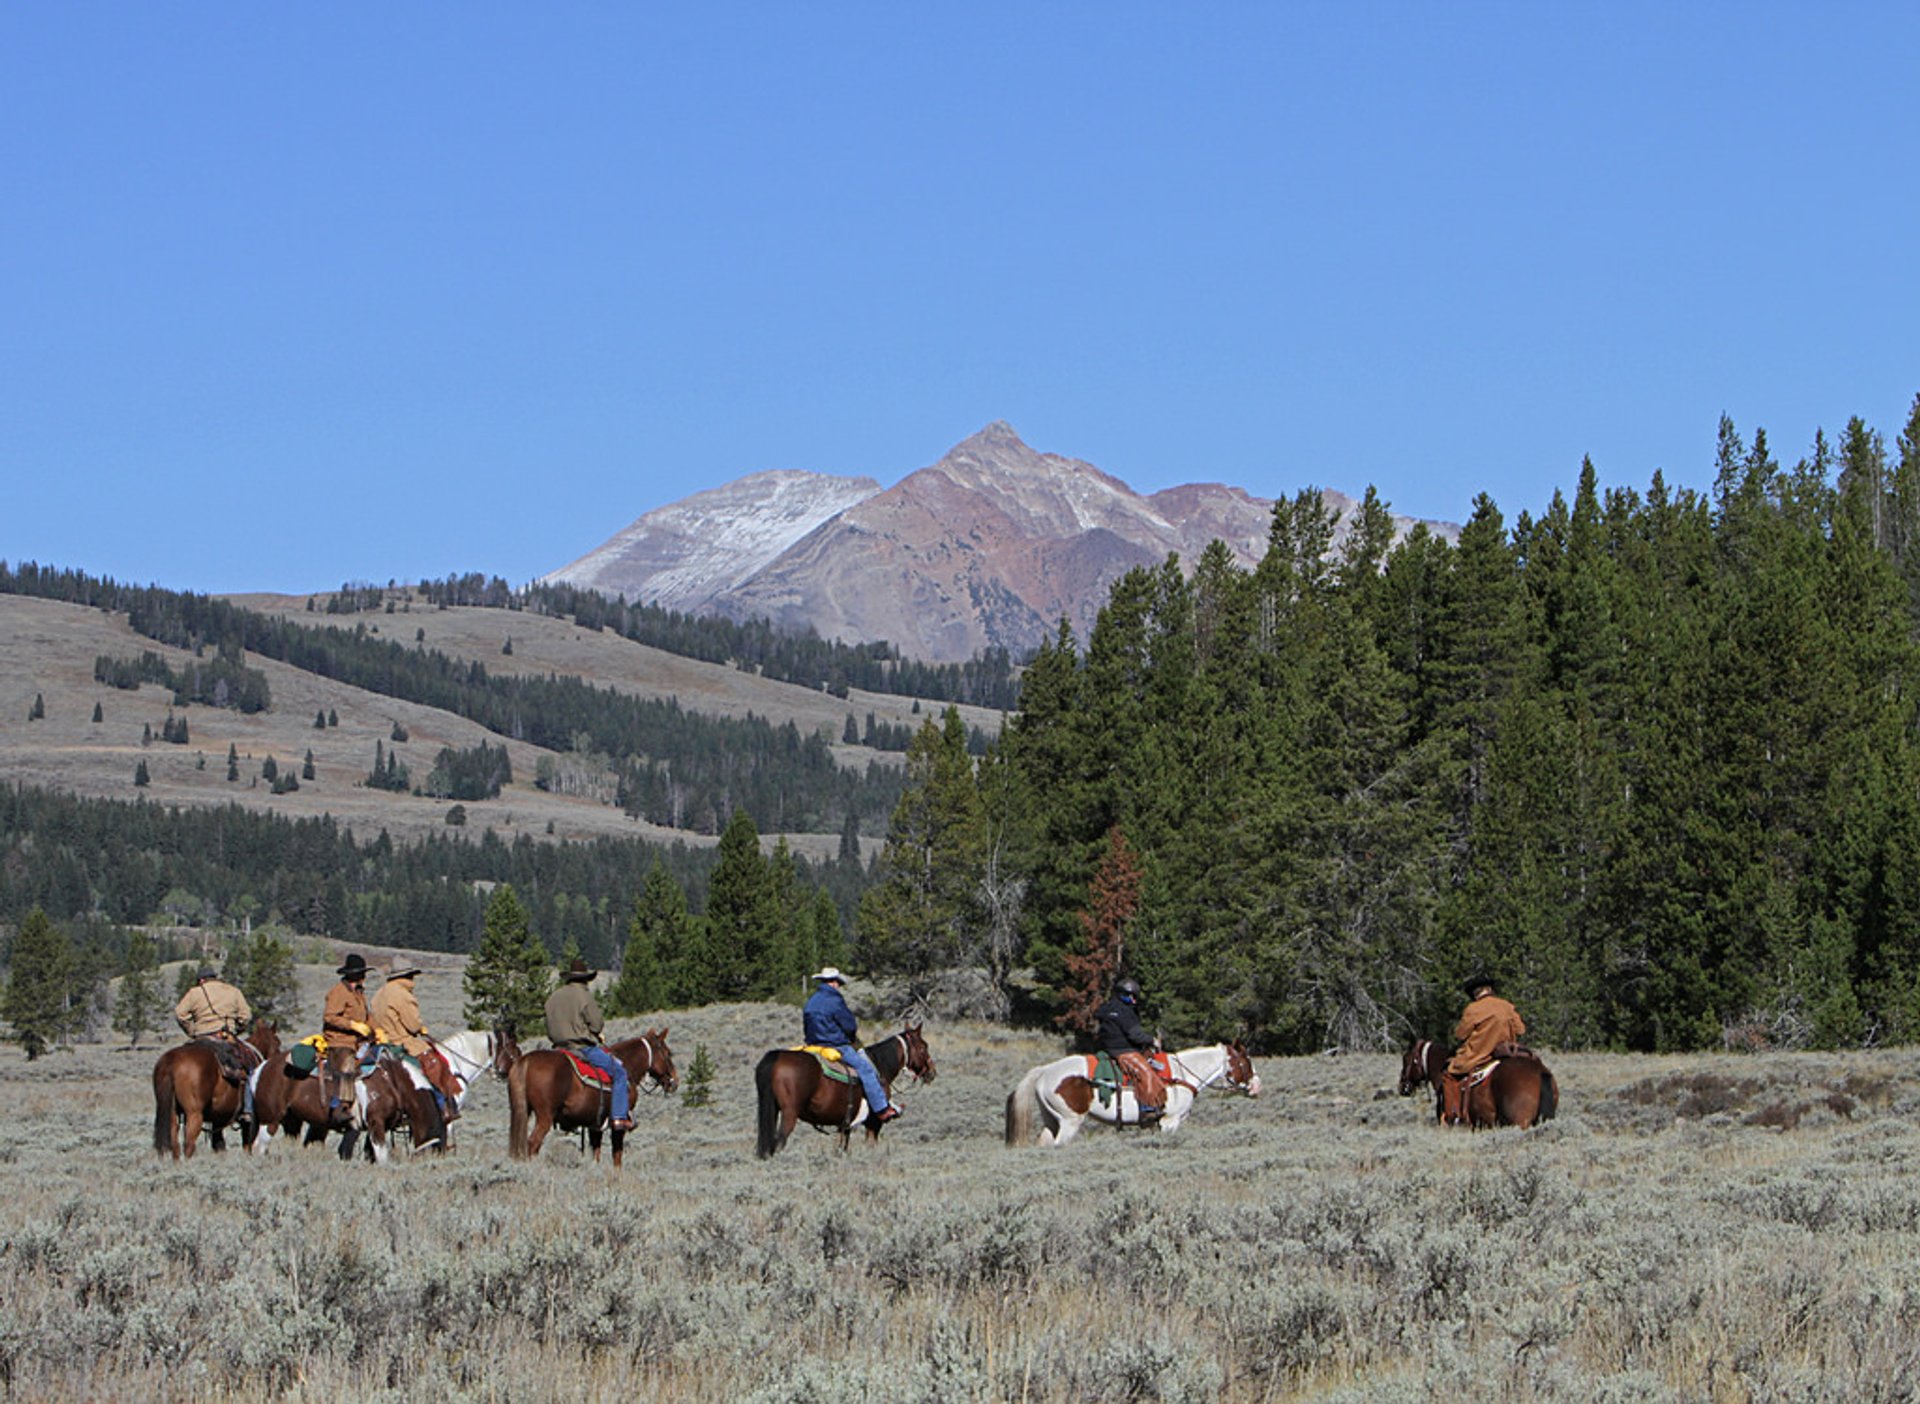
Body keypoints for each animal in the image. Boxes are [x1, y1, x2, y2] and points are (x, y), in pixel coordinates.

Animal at [150, 1021, 280, 1167]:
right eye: (278, 1042)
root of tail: (171, 1061)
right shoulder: (250, 1121)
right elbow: (247, 1145)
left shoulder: (218, 1119)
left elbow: (219, 1145)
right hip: (194, 1114)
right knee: (189, 1145)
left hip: (173, 1113)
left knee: (175, 1144)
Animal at [506, 1029, 679, 1167]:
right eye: (668, 1053)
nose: (675, 1081)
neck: (627, 1065)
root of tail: (526, 1060)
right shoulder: (618, 1123)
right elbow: (617, 1155)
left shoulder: (595, 1124)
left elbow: (596, 1153)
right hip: (544, 1117)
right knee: (532, 1144)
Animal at [752, 1029, 933, 1160]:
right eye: (923, 1047)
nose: (932, 1072)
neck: (880, 1066)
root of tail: (777, 1056)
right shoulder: (874, 1122)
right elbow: (871, 1145)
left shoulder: (845, 1125)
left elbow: (843, 1147)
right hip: (789, 1113)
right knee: (780, 1141)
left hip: (773, 1110)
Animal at [998, 1037, 1267, 1144]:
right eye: (1245, 1061)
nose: (1256, 1086)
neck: (1181, 1075)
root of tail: (1045, 1071)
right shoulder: (1170, 1122)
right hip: (1069, 1122)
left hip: (1050, 1120)